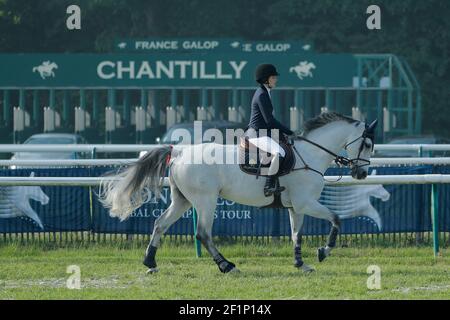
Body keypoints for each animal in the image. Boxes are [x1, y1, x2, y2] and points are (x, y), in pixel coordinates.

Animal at [98, 112, 376, 272]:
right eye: (367, 143)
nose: (361, 174)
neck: (310, 154)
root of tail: (179, 151)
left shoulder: (296, 207)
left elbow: (296, 235)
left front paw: (300, 263)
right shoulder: (306, 203)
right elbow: (336, 220)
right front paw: (323, 251)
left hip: (183, 200)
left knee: (160, 224)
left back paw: (150, 262)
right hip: (206, 200)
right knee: (203, 234)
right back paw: (227, 265)